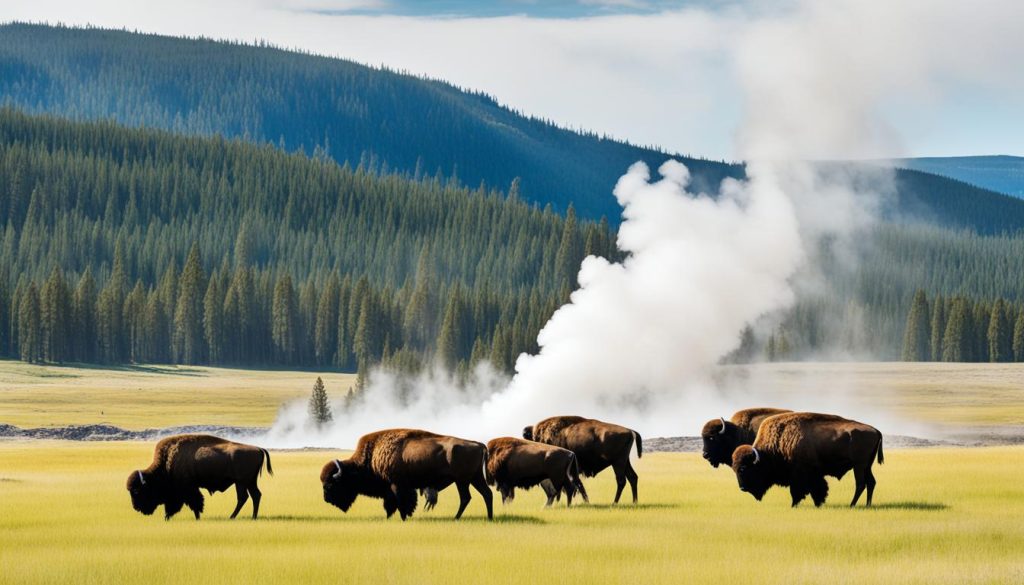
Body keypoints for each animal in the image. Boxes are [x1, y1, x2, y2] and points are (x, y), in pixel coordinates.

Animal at [124, 434, 272, 522]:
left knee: (243, 497)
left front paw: (196, 517)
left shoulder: (187, 489)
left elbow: (194, 503)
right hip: (249, 482)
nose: (136, 507)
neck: (166, 463)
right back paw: (252, 517)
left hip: (241, 482)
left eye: (137, 491)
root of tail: (258, 448)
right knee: (255, 495)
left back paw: (232, 517)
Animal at [319, 426, 495, 522]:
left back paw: (456, 518)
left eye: (331, 484)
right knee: (486, 494)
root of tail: (479, 444)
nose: (326, 499)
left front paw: (404, 518)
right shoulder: (390, 489)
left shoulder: (397, 486)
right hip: (474, 478)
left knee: (466, 497)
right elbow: (390, 505)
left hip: (462, 480)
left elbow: (401, 503)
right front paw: (390, 518)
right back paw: (489, 517)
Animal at [733, 411, 884, 508]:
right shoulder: (813, 476)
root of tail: (876, 430)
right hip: (867, 466)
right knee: (871, 482)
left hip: (859, 466)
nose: (742, 488)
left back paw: (852, 505)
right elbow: (817, 490)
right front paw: (819, 504)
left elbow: (798, 492)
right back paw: (867, 505)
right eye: (734, 469)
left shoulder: (800, 476)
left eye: (743, 468)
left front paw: (794, 505)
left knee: (861, 484)